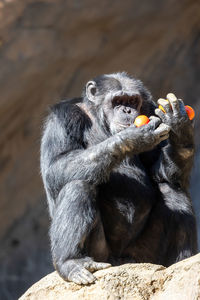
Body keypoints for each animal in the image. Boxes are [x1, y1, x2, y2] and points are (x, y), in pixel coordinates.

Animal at [39, 72, 198, 284]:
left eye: (132, 101)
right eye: (118, 101)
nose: (127, 110)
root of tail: (120, 260)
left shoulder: (151, 110)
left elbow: (160, 172)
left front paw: (180, 128)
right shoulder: (63, 117)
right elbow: (57, 165)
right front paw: (131, 139)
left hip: (144, 256)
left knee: (171, 189)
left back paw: (180, 263)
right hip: (101, 255)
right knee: (78, 186)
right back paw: (71, 262)